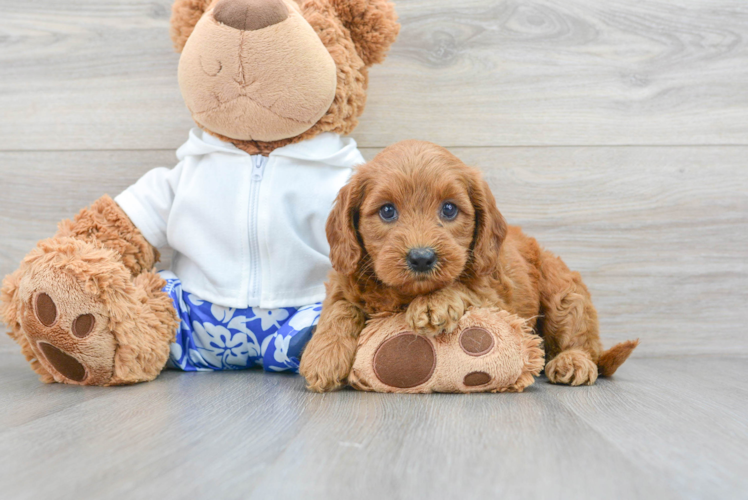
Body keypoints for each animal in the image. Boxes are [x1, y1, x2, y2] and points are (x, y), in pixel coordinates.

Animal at [298, 140, 636, 390]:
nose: (421, 257)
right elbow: (339, 308)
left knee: (580, 338)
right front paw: (323, 355)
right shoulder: (345, 276)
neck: (405, 294)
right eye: (387, 211)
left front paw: (434, 302)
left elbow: (463, 286)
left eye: (449, 209)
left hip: (562, 291)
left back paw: (573, 361)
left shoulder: (495, 296)